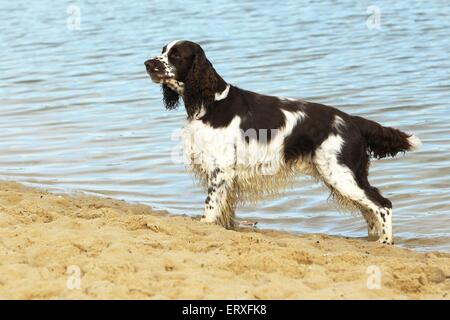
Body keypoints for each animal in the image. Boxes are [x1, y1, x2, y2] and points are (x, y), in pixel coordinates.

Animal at [145, 40, 422, 245]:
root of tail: (354, 121)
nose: (147, 63)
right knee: (370, 209)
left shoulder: (220, 168)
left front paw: (206, 225)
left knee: (382, 205)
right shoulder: (225, 173)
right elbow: (225, 208)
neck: (210, 102)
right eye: (162, 51)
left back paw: (384, 243)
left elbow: (211, 204)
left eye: (175, 55)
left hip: (342, 174)